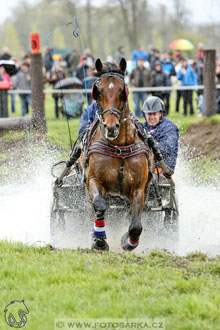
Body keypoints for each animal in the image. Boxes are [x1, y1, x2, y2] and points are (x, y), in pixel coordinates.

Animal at [80, 58, 152, 251]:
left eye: (122, 90)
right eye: (98, 91)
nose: (111, 127)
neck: (119, 147)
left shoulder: (138, 188)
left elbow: (136, 225)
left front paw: (129, 241)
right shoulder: (93, 180)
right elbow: (99, 205)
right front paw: (99, 240)